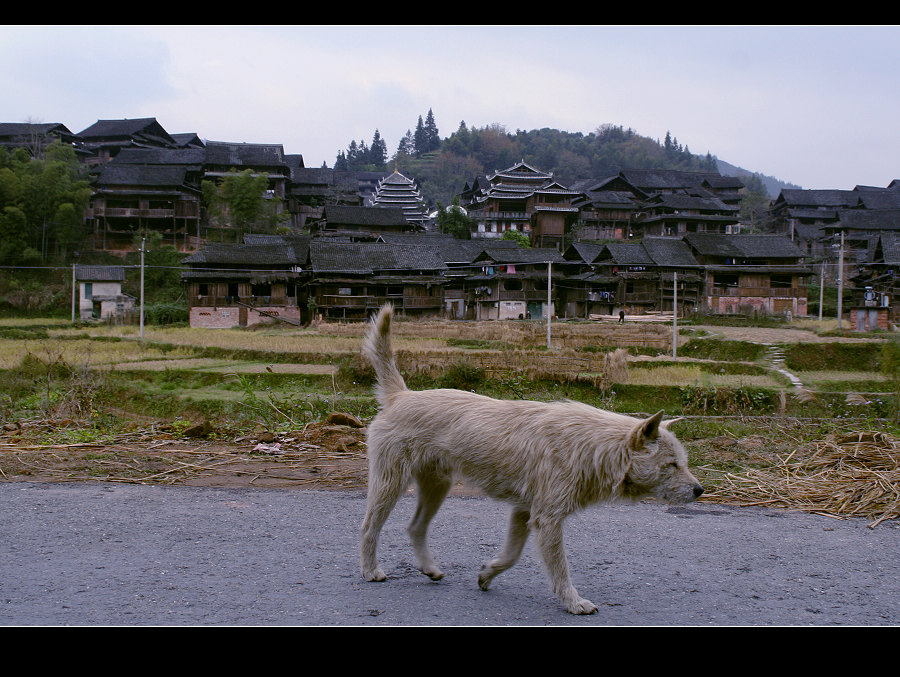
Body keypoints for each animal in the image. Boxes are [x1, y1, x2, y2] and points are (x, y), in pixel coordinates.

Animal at [358, 304, 704, 616]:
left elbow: (511, 555)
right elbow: (560, 569)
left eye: (683, 463)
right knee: (368, 527)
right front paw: (573, 602)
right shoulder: (547, 519)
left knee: (415, 527)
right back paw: (370, 570)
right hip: (390, 485)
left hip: (436, 487)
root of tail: (400, 395)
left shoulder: (524, 511)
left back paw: (429, 568)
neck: (594, 446)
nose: (700, 490)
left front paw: (487, 574)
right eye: (672, 465)